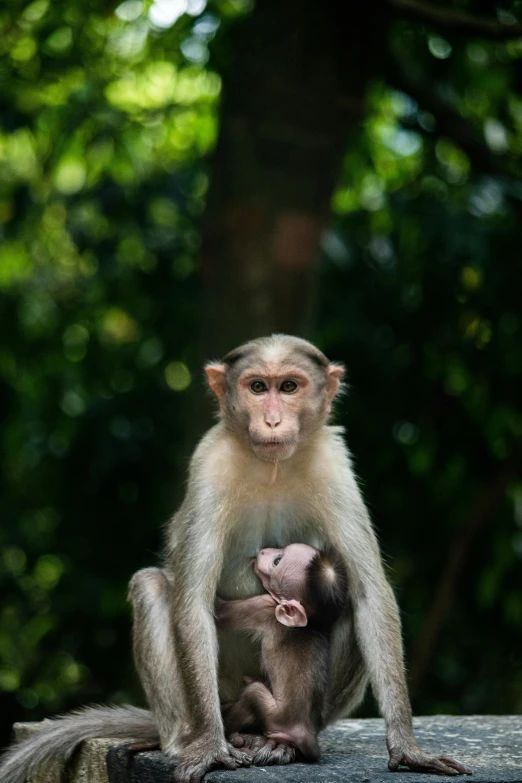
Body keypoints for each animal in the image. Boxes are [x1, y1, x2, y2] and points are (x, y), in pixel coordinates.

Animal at [213, 544, 348, 764]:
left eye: (277, 562)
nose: (263, 551)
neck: (311, 625)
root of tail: (306, 734)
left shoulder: (264, 606)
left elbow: (221, 612)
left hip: (274, 715)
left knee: (252, 693)